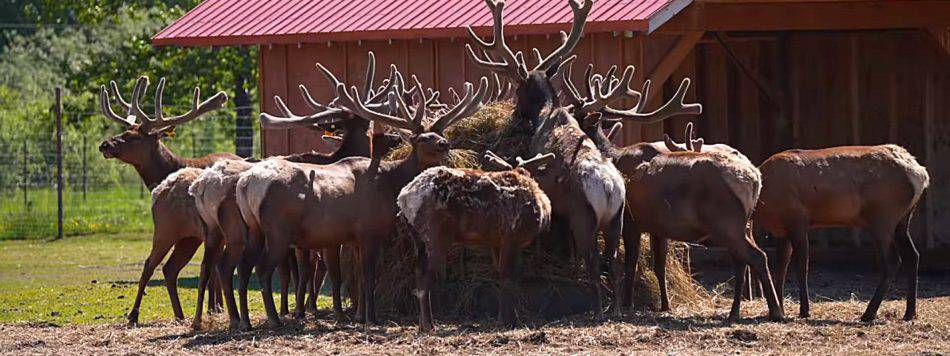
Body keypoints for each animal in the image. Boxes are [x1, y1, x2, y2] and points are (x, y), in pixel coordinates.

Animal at [98, 75, 236, 326]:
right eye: (124, 131)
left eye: (133, 137)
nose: (104, 145)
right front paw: (214, 309)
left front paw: (215, 308)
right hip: (181, 235)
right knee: (165, 267)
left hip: (179, 234)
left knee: (159, 266)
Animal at [190, 52, 402, 328]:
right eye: (366, 127)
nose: (393, 139)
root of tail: (203, 186)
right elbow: (321, 271)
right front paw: (318, 311)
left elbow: (304, 272)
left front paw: (302, 309)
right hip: (237, 230)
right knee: (230, 267)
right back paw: (242, 318)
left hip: (213, 231)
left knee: (210, 266)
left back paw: (208, 320)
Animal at [236, 75, 490, 326]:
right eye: (421, 138)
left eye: (440, 134)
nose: (444, 144)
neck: (390, 183)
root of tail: (245, 183)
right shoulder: (370, 231)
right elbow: (368, 276)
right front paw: (371, 319)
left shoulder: (354, 237)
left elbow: (358, 275)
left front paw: (359, 316)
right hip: (278, 230)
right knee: (262, 269)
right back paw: (274, 319)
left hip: (254, 227)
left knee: (244, 265)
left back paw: (245, 322)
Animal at [400, 150, 556, 330]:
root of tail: (403, 198)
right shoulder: (511, 237)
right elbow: (508, 276)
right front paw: (507, 320)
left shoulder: (497, 242)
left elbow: (502, 274)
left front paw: (506, 318)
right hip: (436, 235)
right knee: (427, 276)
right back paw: (429, 325)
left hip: (417, 239)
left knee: (418, 272)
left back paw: (421, 324)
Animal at [756, 143, 932, 322]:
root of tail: (921, 175)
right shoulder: (781, 231)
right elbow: (781, 268)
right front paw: (780, 310)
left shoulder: (797, 221)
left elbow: (801, 267)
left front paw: (804, 311)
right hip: (902, 220)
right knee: (913, 255)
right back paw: (909, 313)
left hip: (883, 218)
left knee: (893, 261)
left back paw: (869, 314)